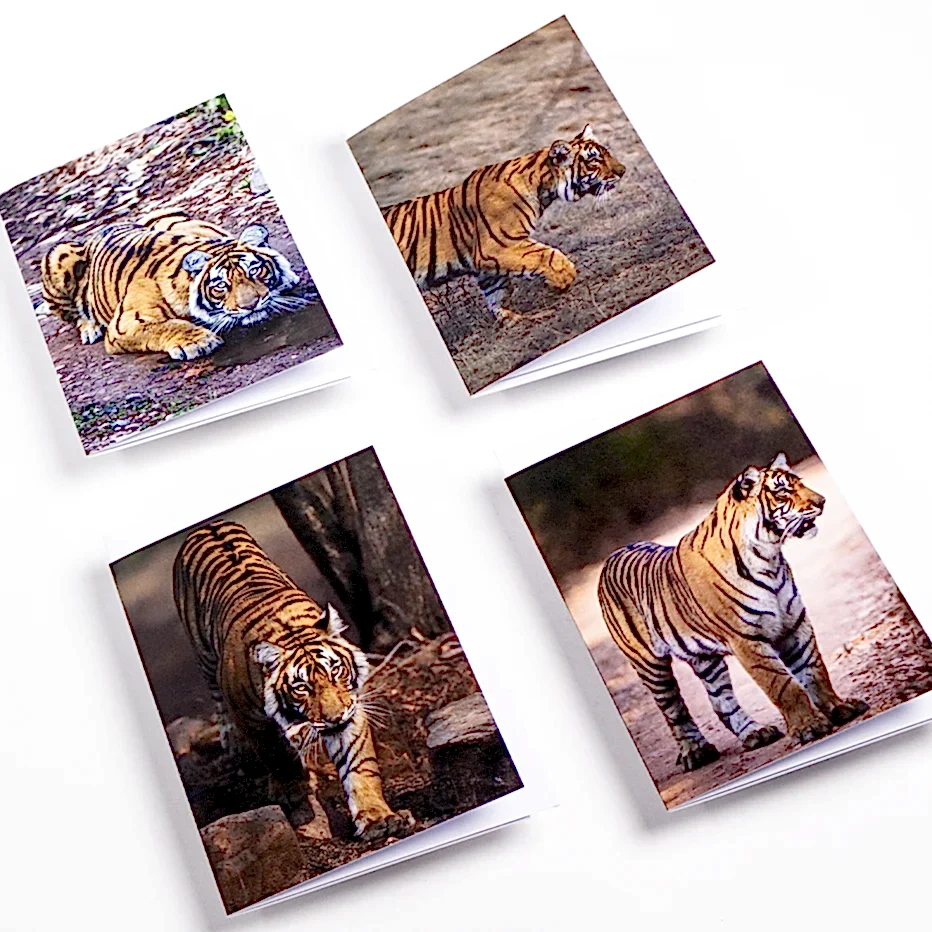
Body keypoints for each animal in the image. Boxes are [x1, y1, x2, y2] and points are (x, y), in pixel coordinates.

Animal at [39, 208, 302, 360]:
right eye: (220, 286)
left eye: (255, 270)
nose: (251, 305)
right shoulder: (125, 324)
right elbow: (164, 326)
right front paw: (198, 341)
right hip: (58, 255)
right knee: (74, 313)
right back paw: (89, 328)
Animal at [173, 519, 416, 841]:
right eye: (301, 687)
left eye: (336, 671)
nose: (335, 717)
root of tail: (208, 523)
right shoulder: (251, 718)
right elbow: (276, 755)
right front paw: (294, 788)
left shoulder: (350, 709)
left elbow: (358, 764)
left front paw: (376, 817)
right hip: (204, 655)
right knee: (216, 697)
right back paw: (236, 743)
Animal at [379, 124, 625, 323]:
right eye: (594, 160)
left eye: (607, 153)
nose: (623, 171)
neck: (543, 188)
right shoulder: (497, 245)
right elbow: (546, 255)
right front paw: (564, 276)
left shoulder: (484, 264)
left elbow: (496, 291)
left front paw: (510, 319)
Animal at [597, 453, 869, 772]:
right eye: (783, 492)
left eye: (800, 483)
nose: (823, 501)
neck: (770, 558)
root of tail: (610, 558)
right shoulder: (746, 640)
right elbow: (783, 685)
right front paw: (809, 727)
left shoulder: (794, 624)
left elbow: (814, 671)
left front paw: (840, 708)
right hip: (650, 665)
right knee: (674, 712)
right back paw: (695, 752)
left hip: (705, 659)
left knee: (720, 702)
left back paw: (756, 733)